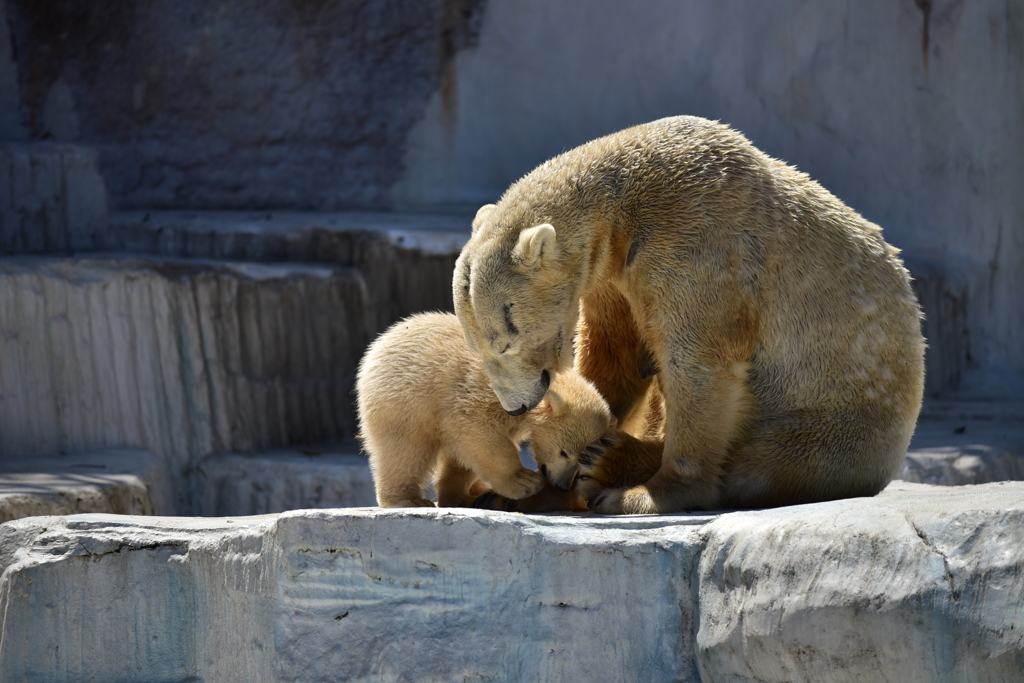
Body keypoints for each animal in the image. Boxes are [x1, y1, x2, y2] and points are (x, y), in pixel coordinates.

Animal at [452, 117, 925, 511]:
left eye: (505, 343)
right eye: (476, 344)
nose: (517, 407)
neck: (629, 207)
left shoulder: (699, 249)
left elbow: (696, 366)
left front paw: (643, 493)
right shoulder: (612, 278)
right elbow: (614, 357)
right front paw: (543, 476)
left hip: (836, 423)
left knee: (759, 461)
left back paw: (615, 461)